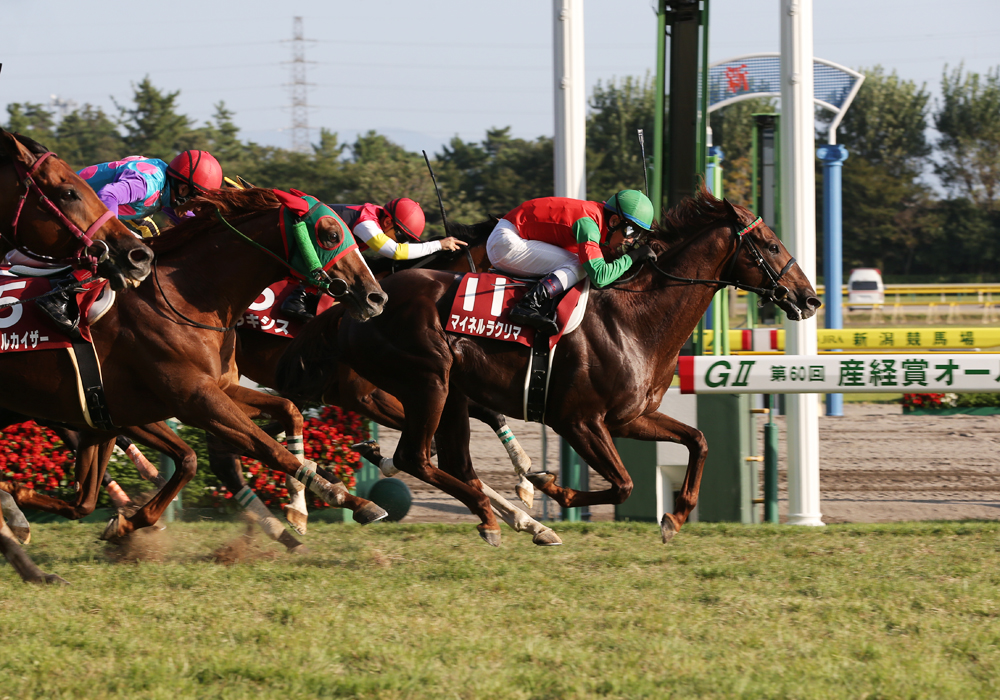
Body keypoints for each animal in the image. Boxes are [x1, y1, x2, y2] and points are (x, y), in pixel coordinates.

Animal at [0, 189, 388, 540]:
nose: (376, 297)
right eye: (330, 234)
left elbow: (287, 412)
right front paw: (350, 500)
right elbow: (266, 449)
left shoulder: (206, 392)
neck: (186, 298)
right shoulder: (193, 400)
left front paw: (299, 506)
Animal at [280, 190, 820, 548]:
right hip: (428, 381)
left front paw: (677, 516)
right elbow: (623, 484)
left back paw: (497, 517)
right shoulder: (579, 421)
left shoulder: (630, 417)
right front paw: (548, 485)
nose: (809, 298)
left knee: (448, 460)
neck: (634, 319)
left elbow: (698, 440)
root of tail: (359, 304)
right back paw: (497, 515)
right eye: (771, 245)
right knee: (416, 456)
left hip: (450, 393)